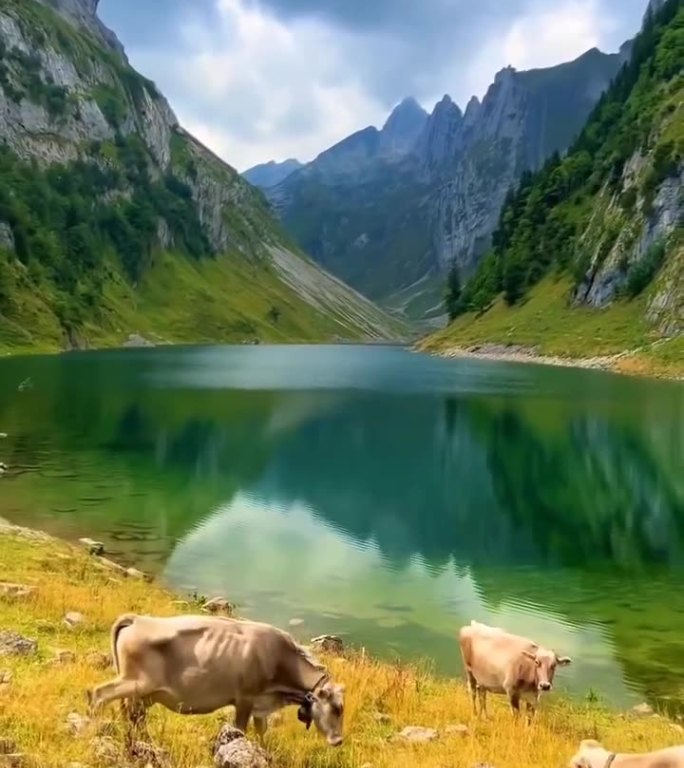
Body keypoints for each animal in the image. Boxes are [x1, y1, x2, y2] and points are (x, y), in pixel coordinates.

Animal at [86, 616, 348, 748]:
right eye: (337, 708)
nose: (338, 740)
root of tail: (137, 619)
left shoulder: (260, 704)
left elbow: (261, 731)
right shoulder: (245, 699)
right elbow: (240, 730)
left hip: (143, 693)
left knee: (133, 715)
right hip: (135, 683)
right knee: (99, 694)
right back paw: (92, 729)